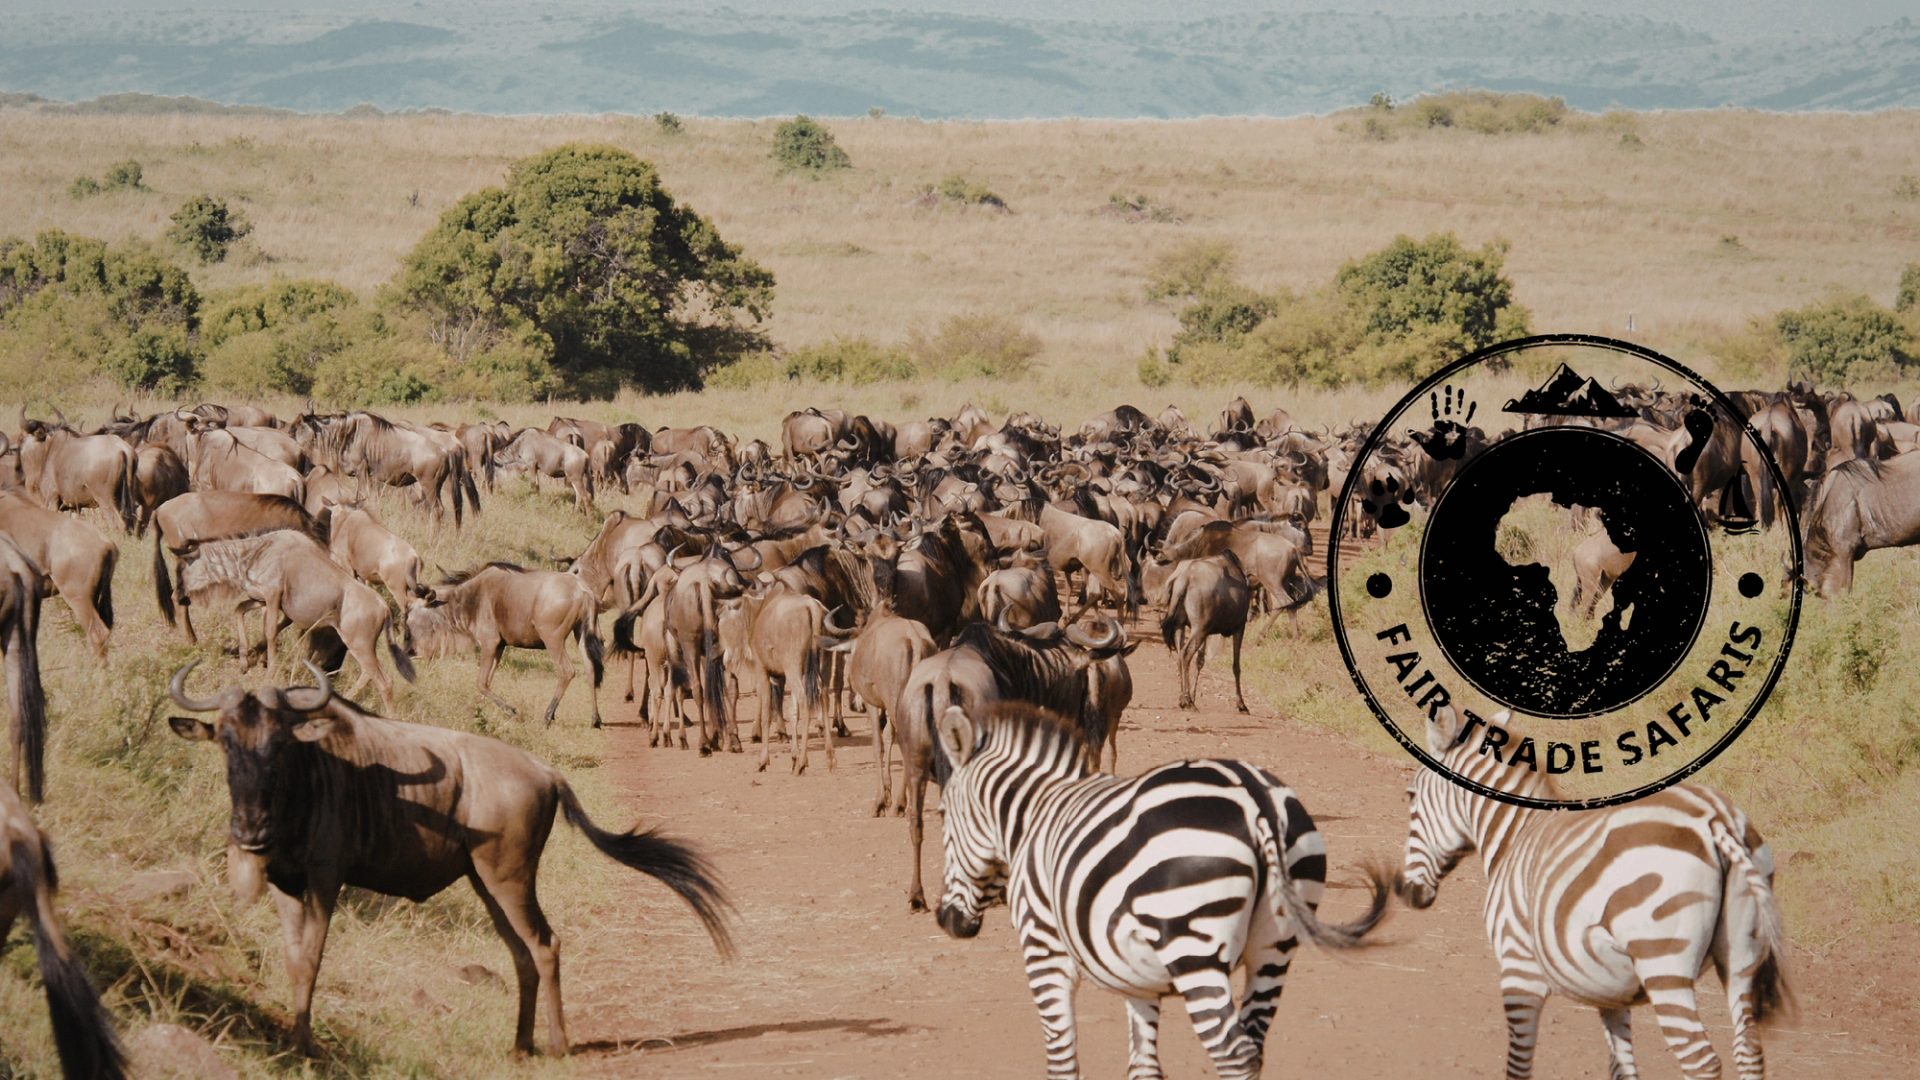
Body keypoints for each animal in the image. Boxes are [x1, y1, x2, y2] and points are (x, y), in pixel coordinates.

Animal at [932, 701, 1388, 1080]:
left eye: (942, 816)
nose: (945, 919)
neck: (1034, 817)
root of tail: (1256, 799)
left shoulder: (1043, 950)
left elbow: (1062, 1061)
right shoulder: (1136, 977)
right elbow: (1144, 1068)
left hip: (1194, 947)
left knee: (1234, 1055)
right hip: (1275, 948)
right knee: (1255, 1046)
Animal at [1397, 708, 1793, 1080]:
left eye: (1410, 796)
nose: (1404, 891)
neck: (1516, 836)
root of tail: (1717, 819)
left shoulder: (1518, 969)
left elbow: (1518, 1065)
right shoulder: (1611, 992)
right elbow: (1621, 1067)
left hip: (1663, 962)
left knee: (1702, 1062)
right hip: (1742, 957)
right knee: (1749, 1051)